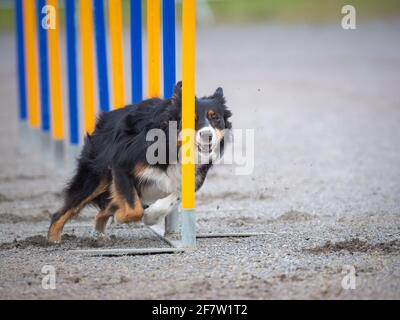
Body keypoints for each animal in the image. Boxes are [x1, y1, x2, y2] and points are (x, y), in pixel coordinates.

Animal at [48, 82, 233, 242]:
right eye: (190, 119)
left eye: (215, 118)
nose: (207, 135)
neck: (174, 146)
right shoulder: (121, 165)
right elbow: (133, 209)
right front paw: (124, 216)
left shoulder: (192, 178)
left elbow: (173, 196)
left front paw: (151, 216)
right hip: (95, 177)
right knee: (64, 211)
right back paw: (53, 240)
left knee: (103, 210)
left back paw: (99, 235)